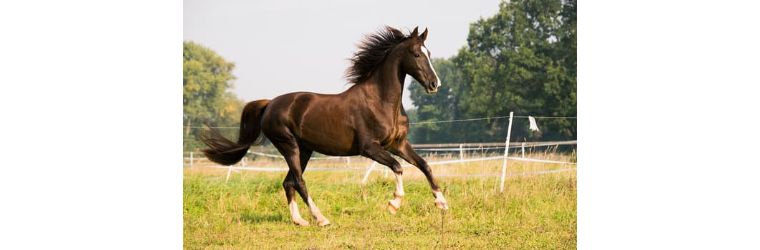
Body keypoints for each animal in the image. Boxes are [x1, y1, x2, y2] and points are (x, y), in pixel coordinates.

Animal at [203, 26, 452, 227]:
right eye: (417, 54)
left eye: (429, 53)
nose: (435, 84)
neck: (380, 101)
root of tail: (270, 104)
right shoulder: (369, 148)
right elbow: (398, 167)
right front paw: (394, 203)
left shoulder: (397, 144)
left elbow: (424, 165)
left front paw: (441, 203)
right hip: (289, 146)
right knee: (299, 181)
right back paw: (321, 218)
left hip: (304, 150)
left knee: (288, 182)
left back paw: (300, 221)